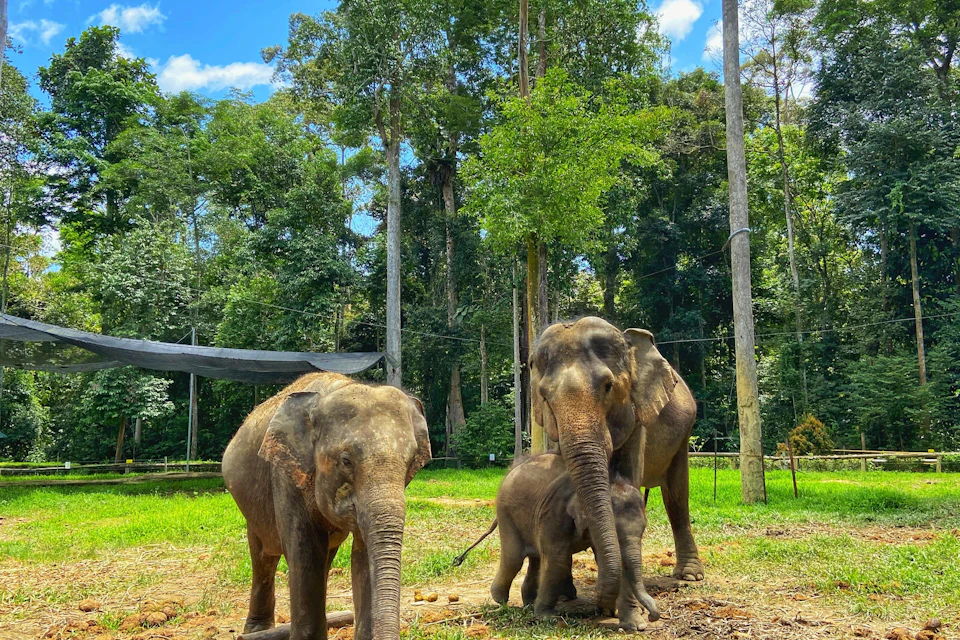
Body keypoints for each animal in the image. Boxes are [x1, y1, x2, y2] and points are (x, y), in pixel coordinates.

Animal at [222, 372, 431, 640]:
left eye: (412, 461)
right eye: (346, 460)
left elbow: (363, 555)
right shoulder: (286, 475)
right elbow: (305, 552)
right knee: (263, 556)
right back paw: (256, 631)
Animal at [474, 453, 659, 630]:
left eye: (644, 528)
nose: (652, 616)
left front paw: (635, 625)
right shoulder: (554, 512)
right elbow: (557, 559)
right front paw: (547, 618)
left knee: (535, 558)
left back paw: (529, 603)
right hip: (506, 513)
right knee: (514, 559)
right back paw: (500, 600)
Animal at [530, 317, 702, 618]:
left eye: (608, 386)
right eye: (545, 396)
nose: (600, 605)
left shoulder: (638, 419)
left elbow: (630, 477)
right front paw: (566, 595)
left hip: (684, 433)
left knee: (677, 496)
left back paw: (690, 575)